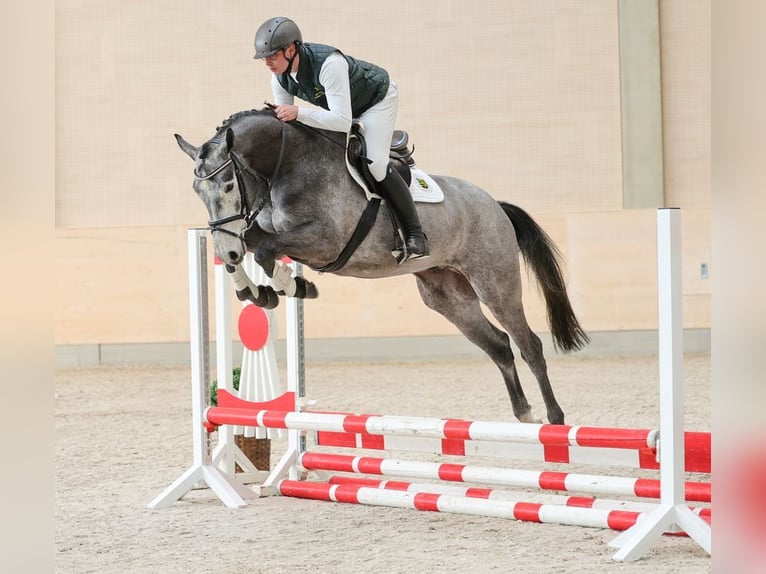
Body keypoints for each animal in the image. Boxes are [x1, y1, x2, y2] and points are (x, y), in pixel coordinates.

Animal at [175, 107, 589, 424]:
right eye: (197, 191)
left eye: (229, 185)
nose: (226, 250)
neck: (285, 164)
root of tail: (495, 206)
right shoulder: (257, 232)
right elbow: (253, 246)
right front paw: (257, 290)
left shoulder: (324, 241)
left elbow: (265, 252)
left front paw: (289, 286)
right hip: (448, 297)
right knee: (499, 346)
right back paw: (524, 414)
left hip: (495, 284)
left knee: (528, 344)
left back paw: (554, 419)